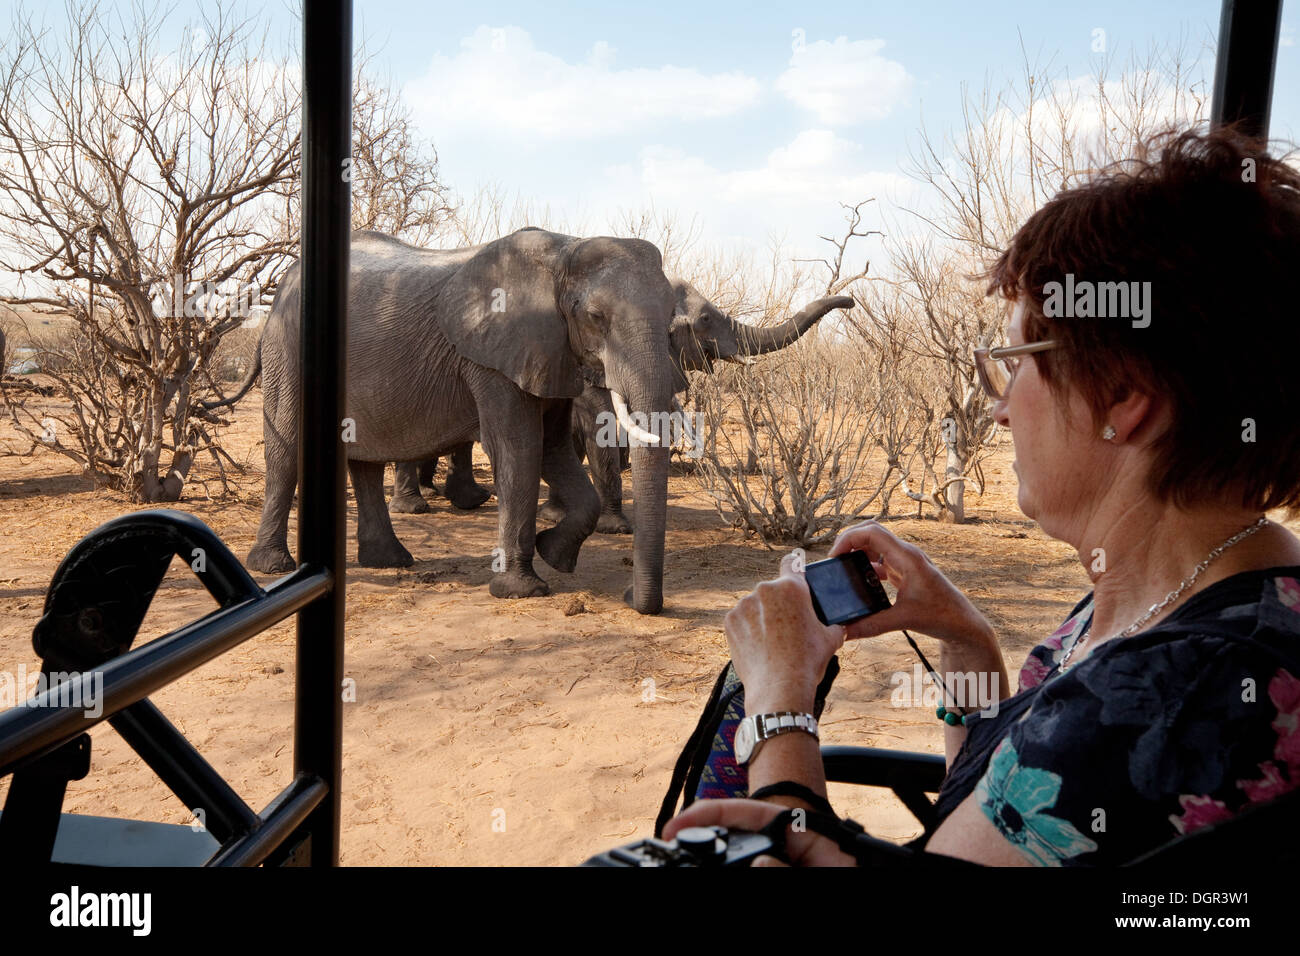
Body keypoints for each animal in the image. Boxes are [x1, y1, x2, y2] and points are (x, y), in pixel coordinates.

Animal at [220, 228, 680, 613]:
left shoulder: (550, 353)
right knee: (286, 452)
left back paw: (390, 561)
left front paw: (555, 554)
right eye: (596, 317)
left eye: (672, 320)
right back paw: (274, 567)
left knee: (365, 460)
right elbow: (519, 449)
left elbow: (554, 450)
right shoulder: (493, 359)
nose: (630, 597)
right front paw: (522, 590)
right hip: (287, 348)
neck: (565, 249)